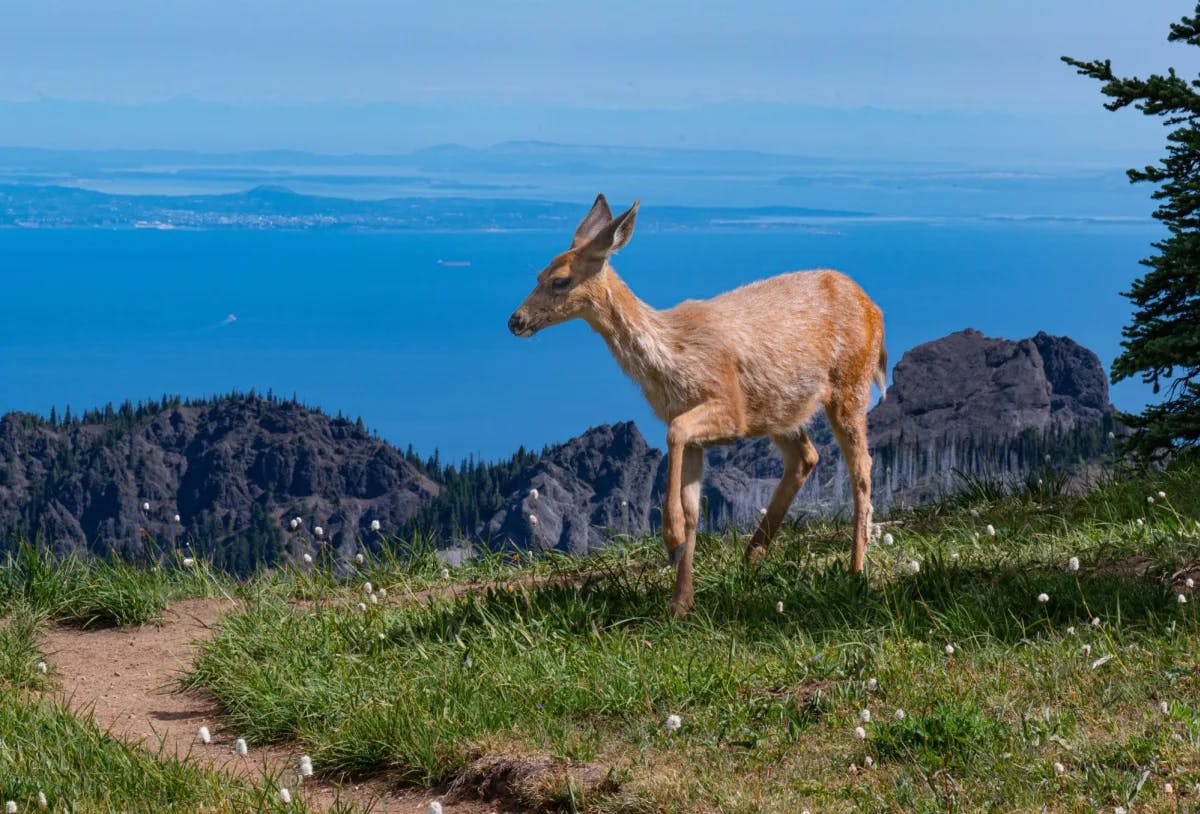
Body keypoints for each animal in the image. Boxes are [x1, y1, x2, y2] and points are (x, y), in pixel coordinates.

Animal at [501, 195, 888, 619]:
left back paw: (855, 572)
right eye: (539, 273)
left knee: (862, 469)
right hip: (780, 408)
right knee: (806, 456)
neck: (672, 355)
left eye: (560, 280)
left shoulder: (730, 407)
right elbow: (693, 509)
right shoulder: (694, 427)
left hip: (849, 385)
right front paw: (680, 602)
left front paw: (670, 540)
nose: (515, 320)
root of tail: (874, 309)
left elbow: (676, 436)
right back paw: (753, 556)